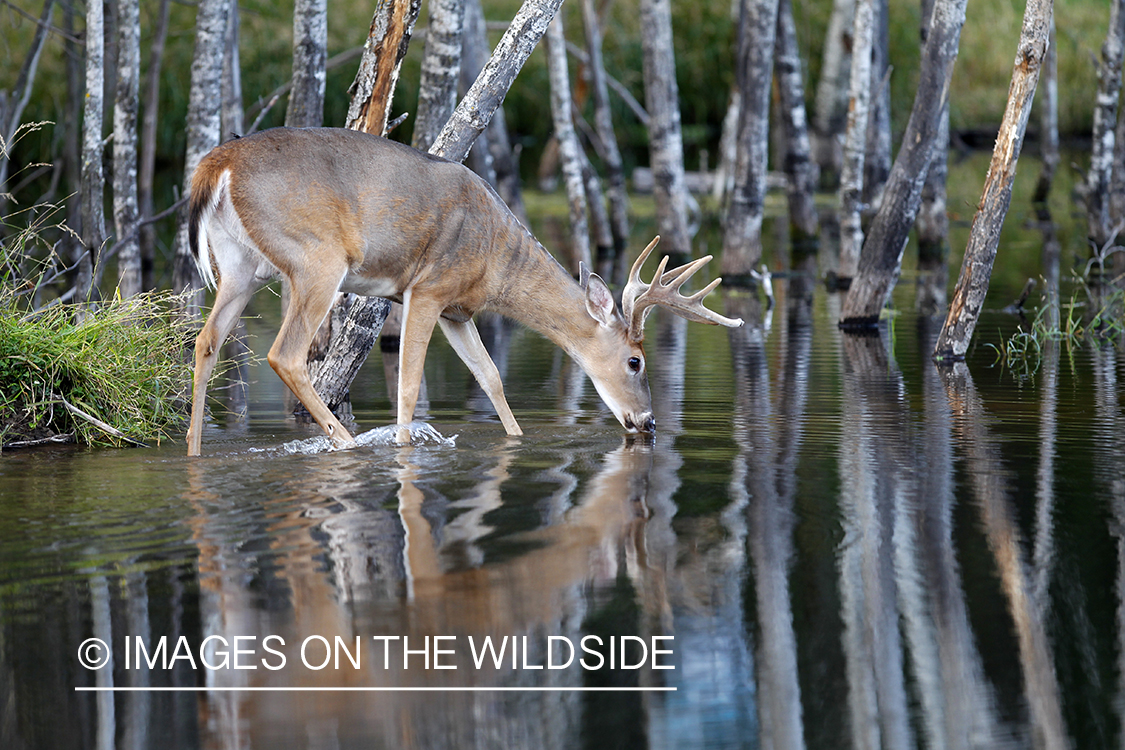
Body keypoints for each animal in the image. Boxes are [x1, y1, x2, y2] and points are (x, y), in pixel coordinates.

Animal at [186, 125, 738, 454]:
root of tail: (218, 164)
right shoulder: (428, 288)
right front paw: (405, 448)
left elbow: (491, 377)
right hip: (316, 260)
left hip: (241, 267)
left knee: (206, 341)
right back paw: (347, 443)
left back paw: (193, 449)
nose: (647, 423)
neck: (496, 260)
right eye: (635, 361)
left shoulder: (459, 311)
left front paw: (516, 439)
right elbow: (410, 386)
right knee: (285, 353)